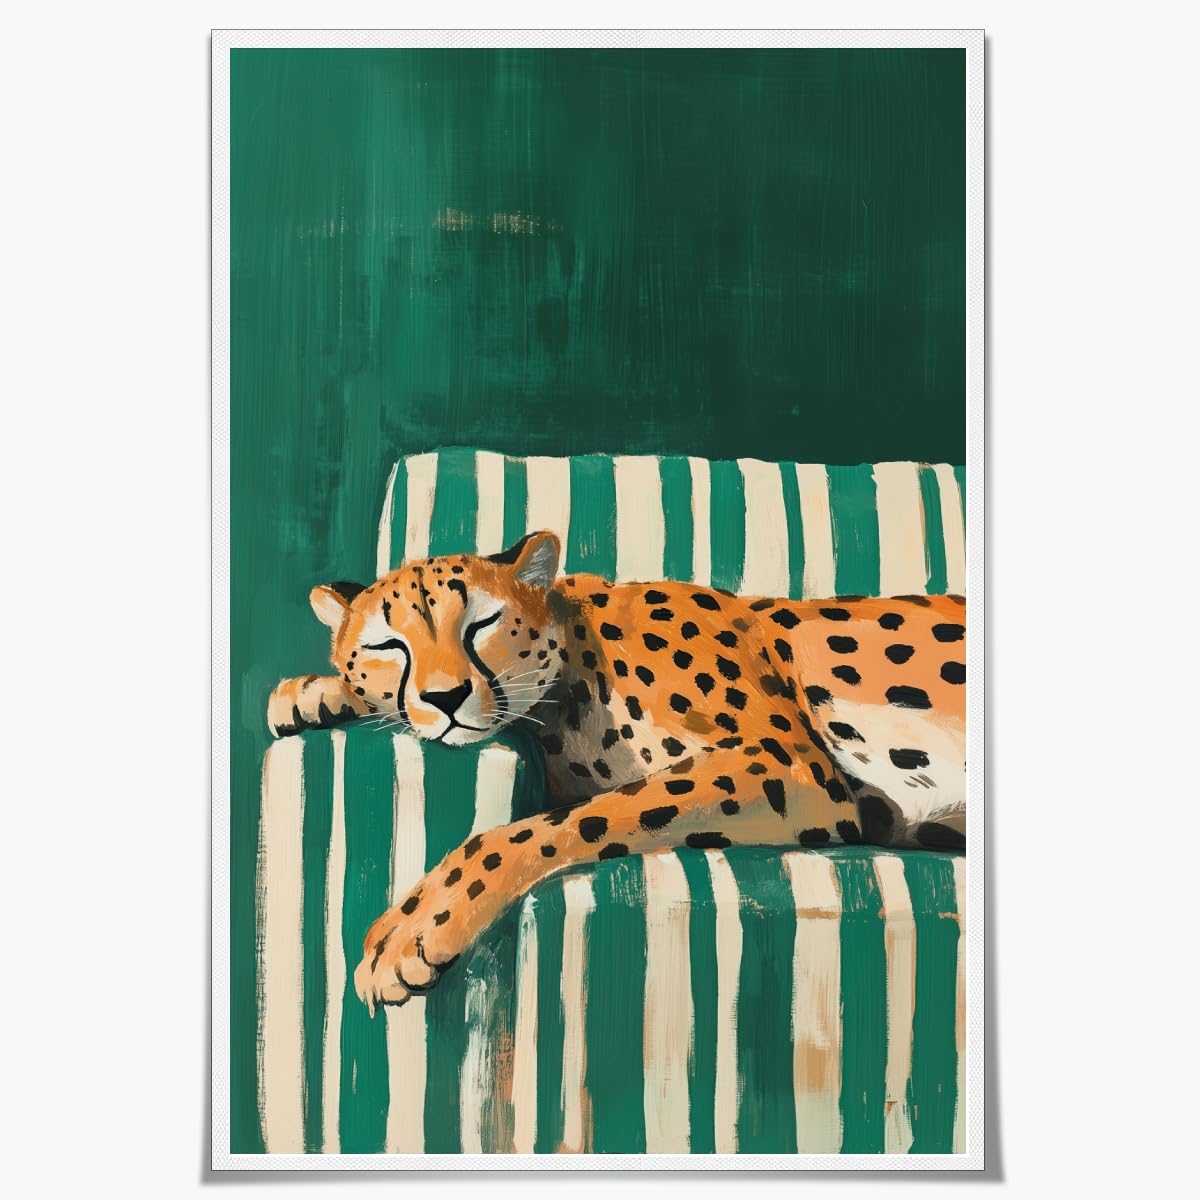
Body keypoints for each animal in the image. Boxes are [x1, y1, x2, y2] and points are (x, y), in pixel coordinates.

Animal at [267, 530, 967, 1014]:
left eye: (481, 624)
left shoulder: (787, 765)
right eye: (389, 645)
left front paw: (411, 931)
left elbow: (555, 824)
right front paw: (318, 691)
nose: (445, 698)